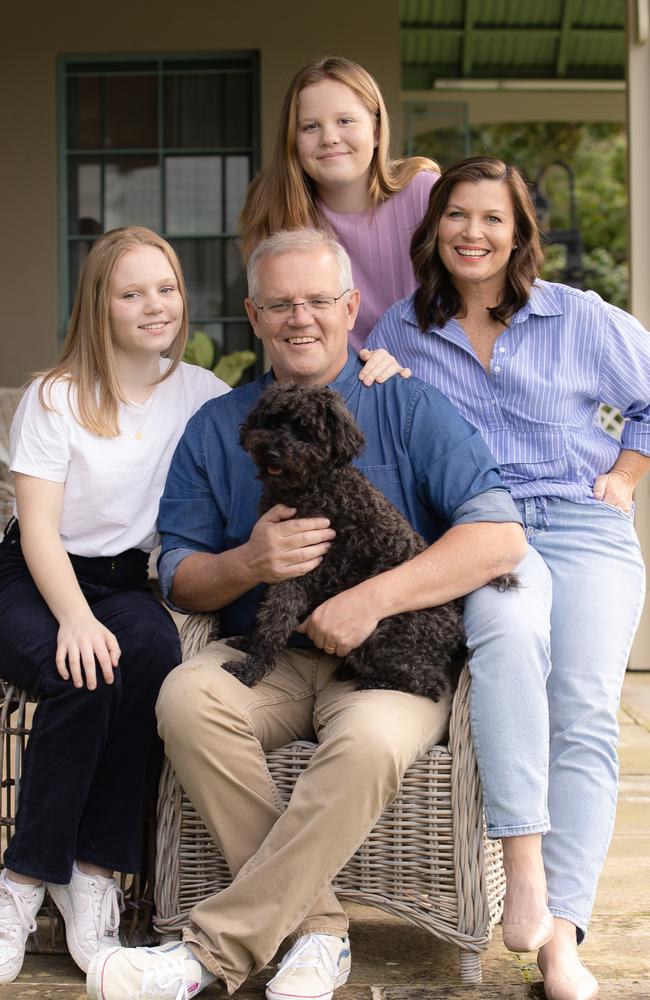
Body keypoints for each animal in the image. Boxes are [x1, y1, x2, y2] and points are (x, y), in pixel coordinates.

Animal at [223, 382, 516, 704]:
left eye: (305, 431)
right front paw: (247, 644)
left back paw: (372, 682)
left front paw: (250, 669)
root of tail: (456, 609)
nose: (272, 453)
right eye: (273, 421)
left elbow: (275, 621)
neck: (315, 484)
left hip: (379, 637)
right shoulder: (280, 560)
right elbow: (264, 610)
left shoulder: (302, 570)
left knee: (431, 684)